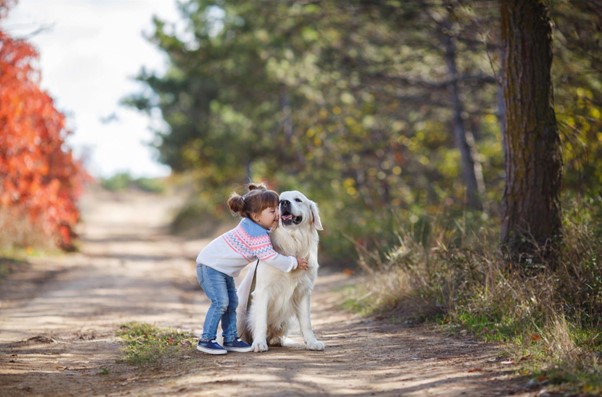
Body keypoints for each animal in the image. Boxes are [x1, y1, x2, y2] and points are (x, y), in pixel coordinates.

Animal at [237, 190, 326, 352]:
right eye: (279, 200)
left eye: (298, 199)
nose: (284, 203)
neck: (292, 241)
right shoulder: (263, 291)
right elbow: (261, 321)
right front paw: (259, 343)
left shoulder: (303, 291)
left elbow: (306, 323)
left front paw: (312, 342)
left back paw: (276, 340)